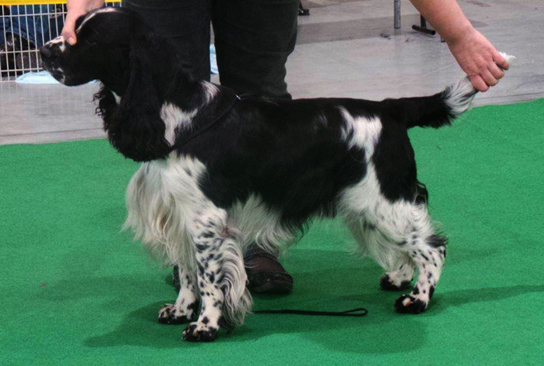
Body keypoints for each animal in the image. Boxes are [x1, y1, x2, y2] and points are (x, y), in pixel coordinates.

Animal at [41, 6, 510, 344]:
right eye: (74, 29)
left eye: (90, 38)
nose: (45, 51)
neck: (177, 116)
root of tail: (390, 109)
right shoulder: (179, 215)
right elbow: (188, 272)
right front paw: (179, 310)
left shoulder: (206, 220)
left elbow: (209, 277)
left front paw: (205, 326)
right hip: (367, 202)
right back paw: (397, 278)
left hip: (384, 199)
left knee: (432, 248)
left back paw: (417, 298)